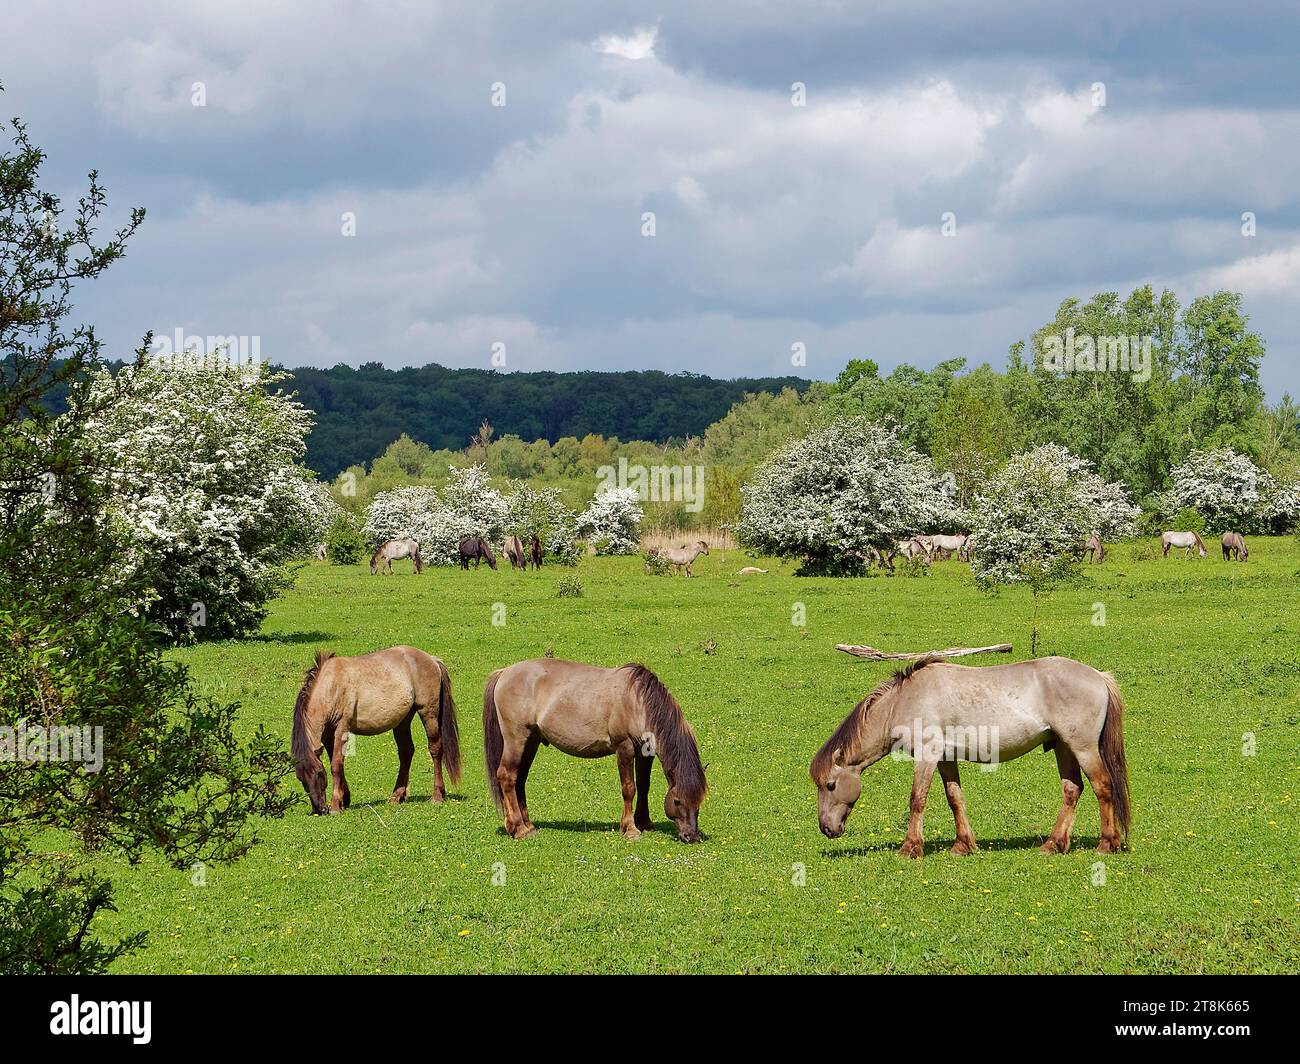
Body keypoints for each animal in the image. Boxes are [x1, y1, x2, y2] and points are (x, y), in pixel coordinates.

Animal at [291, 646, 461, 814]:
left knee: (435, 749)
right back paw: (396, 796)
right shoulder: (327, 735)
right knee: (406, 752)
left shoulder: (341, 728)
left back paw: (437, 795)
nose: (319, 809)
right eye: (301, 778)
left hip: (428, 712)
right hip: (403, 720)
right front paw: (344, 800)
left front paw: (335, 806)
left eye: (319, 773)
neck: (331, 686)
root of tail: (432, 659)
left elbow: (336, 765)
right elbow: (338, 763)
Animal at [482, 658, 708, 842]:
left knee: (520, 779)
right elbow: (629, 788)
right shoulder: (624, 748)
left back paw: (527, 826)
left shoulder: (645, 753)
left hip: (531, 741)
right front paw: (630, 829)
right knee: (507, 776)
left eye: (699, 800)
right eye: (677, 801)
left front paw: (644, 822)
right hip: (516, 739)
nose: (691, 836)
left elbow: (644, 786)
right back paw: (519, 829)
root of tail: (504, 672)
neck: (636, 702)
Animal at [810, 655, 1130, 857]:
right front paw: (962, 845)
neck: (906, 700)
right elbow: (955, 798)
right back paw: (1054, 844)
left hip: (1083, 747)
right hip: (1063, 747)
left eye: (830, 785)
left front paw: (910, 848)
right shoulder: (944, 758)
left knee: (1103, 787)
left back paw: (1107, 844)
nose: (826, 828)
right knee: (1072, 790)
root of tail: (1099, 677)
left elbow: (917, 800)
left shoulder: (927, 755)